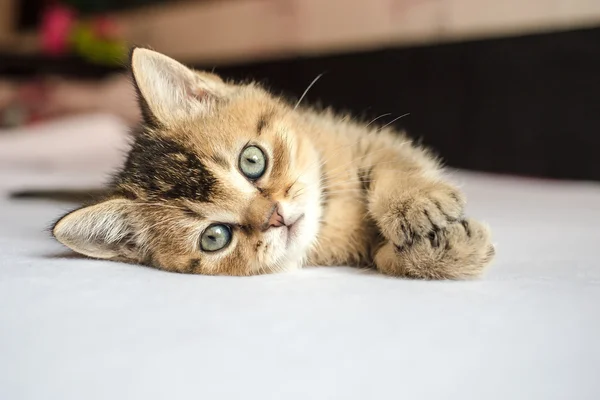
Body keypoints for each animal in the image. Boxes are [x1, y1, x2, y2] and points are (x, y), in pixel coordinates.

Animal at [51, 47, 494, 278]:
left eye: (252, 160)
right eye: (214, 237)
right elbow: (383, 258)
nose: (275, 217)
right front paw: (447, 249)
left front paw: (414, 204)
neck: (331, 215)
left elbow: (396, 163)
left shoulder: (364, 138)